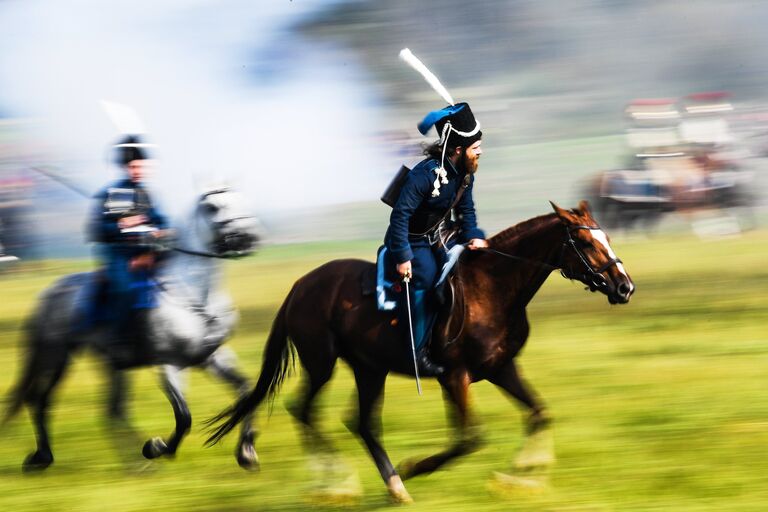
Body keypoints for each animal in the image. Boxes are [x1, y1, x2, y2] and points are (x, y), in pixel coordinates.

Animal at [3, 186, 262, 470]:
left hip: (109, 364)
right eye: (212, 207)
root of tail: (49, 293)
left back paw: (133, 463)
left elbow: (247, 391)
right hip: (56, 355)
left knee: (112, 409)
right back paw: (42, 457)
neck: (194, 294)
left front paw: (247, 451)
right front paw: (156, 447)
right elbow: (184, 416)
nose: (249, 239)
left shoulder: (210, 357)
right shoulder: (169, 364)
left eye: (241, 199)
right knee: (40, 400)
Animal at [207, 201, 632, 504]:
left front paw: (519, 478)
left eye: (608, 237)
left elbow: (539, 414)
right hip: (322, 363)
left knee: (362, 423)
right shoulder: (454, 376)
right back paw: (341, 484)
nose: (625, 286)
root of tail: (300, 286)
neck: (492, 289)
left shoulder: (501, 368)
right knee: (305, 410)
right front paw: (415, 467)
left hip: (369, 369)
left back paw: (393, 487)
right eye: (587, 243)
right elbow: (469, 438)